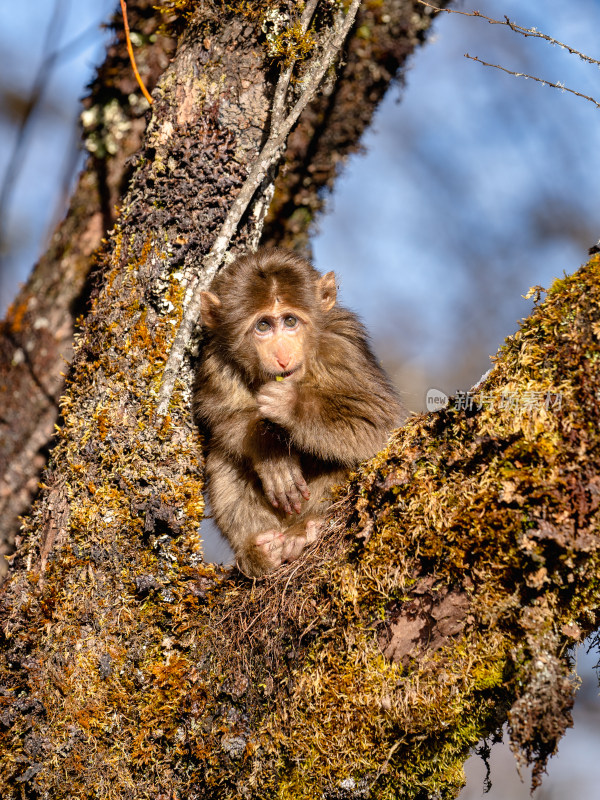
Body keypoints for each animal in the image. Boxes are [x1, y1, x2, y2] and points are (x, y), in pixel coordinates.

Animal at [195, 247, 404, 580]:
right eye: (263, 326)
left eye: (290, 321)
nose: (282, 356)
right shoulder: (217, 362)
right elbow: (222, 419)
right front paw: (270, 451)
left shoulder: (342, 350)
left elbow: (373, 424)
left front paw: (290, 407)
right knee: (223, 455)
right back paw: (259, 549)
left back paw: (306, 531)